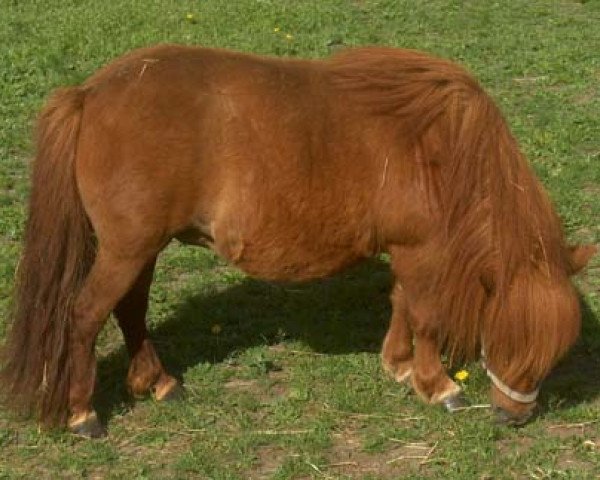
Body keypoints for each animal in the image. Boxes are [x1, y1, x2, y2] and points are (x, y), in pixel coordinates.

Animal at [0, 44, 596, 436]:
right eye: (514, 336)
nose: (513, 416)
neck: (443, 147)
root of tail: (90, 93)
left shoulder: (404, 252)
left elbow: (401, 303)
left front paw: (399, 365)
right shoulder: (420, 250)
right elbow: (425, 314)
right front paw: (437, 385)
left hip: (140, 249)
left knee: (129, 312)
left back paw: (159, 382)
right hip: (127, 251)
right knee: (84, 316)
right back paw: (82, 414)